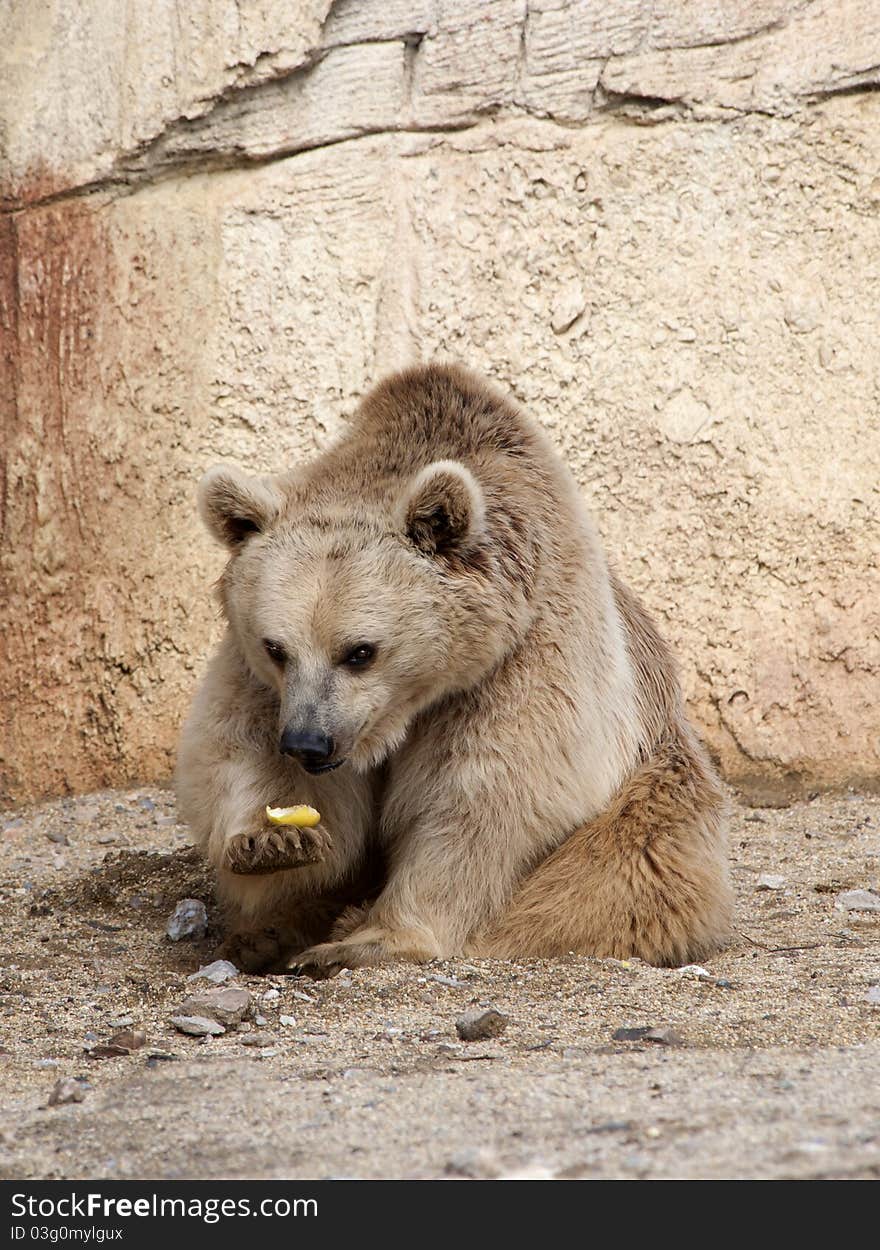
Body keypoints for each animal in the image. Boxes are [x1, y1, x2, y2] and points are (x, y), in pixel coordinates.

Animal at [175, 365, 730, 975]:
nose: (309, 743)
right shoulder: (258, 679)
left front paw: (370, 938)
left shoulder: (525, 657)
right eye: (276, 648)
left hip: (658, 782)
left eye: (360, 651)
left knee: (616, 872)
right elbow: (241, 747)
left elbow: (485, 788)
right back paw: (267, 935)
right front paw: (274, 843)